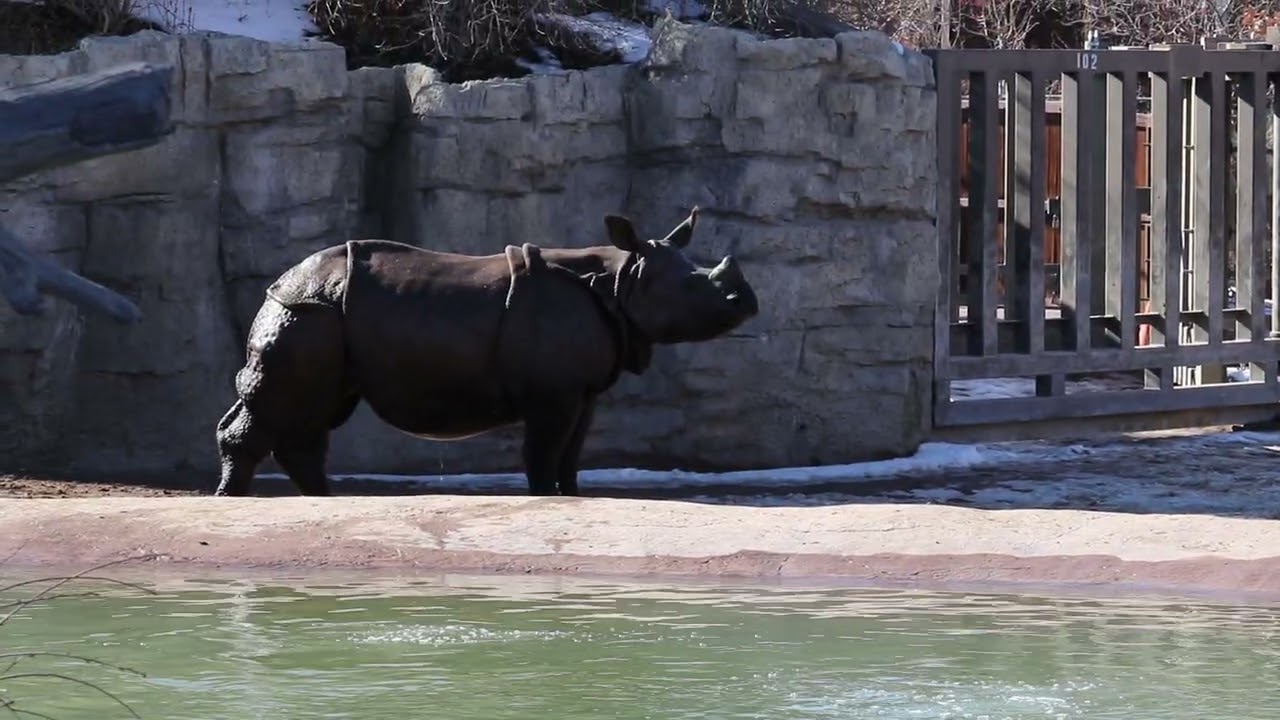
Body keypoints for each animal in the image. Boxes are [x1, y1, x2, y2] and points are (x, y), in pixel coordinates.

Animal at [214, 207, 759, 497]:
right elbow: (544, 455)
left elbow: (572, 455)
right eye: (693, 287)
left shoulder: (581, 391)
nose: (747, 302)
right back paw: (232, 503)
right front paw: (544, 500)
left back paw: (323, 502)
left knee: (313, 416)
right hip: (308, 312)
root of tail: (282, 281)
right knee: (288, 412)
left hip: (322, 315)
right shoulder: (553, 393)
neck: (623, 276)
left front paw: (572, 497)